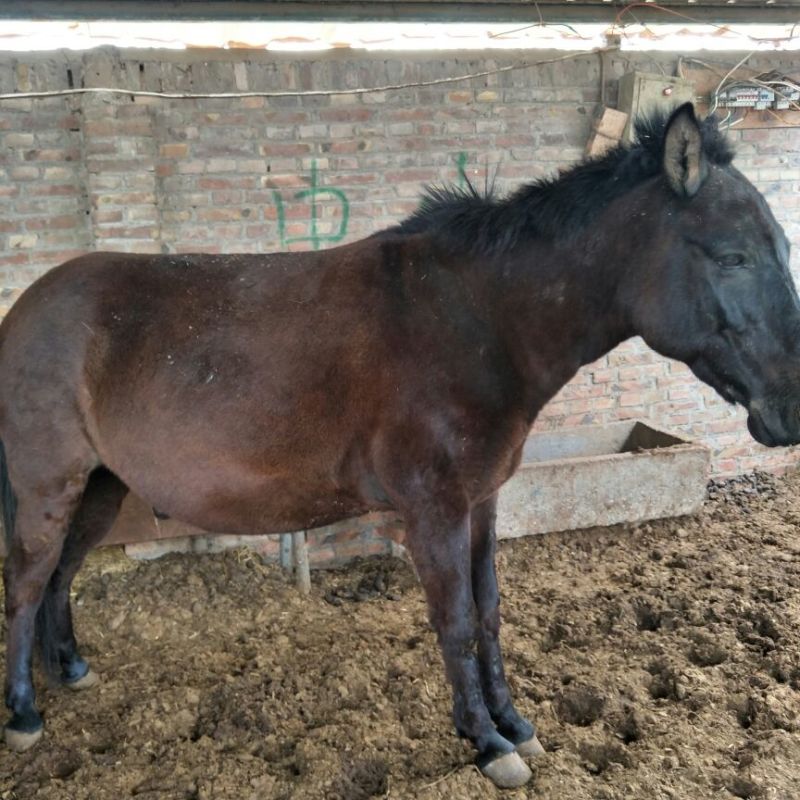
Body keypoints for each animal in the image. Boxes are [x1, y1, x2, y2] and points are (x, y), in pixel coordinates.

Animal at [2, 103, 799, 788]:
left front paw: (516, 722)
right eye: (731, 257)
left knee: (60, 577)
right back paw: (23, 712)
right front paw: (486, 742)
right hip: (49, 486)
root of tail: (26, 307)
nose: (788, 410)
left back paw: (68, 669)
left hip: (100, 487)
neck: (475, 321)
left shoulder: (481, 503)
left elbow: (488, 610)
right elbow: (454, 620)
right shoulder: (433, 510)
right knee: (28, 583)